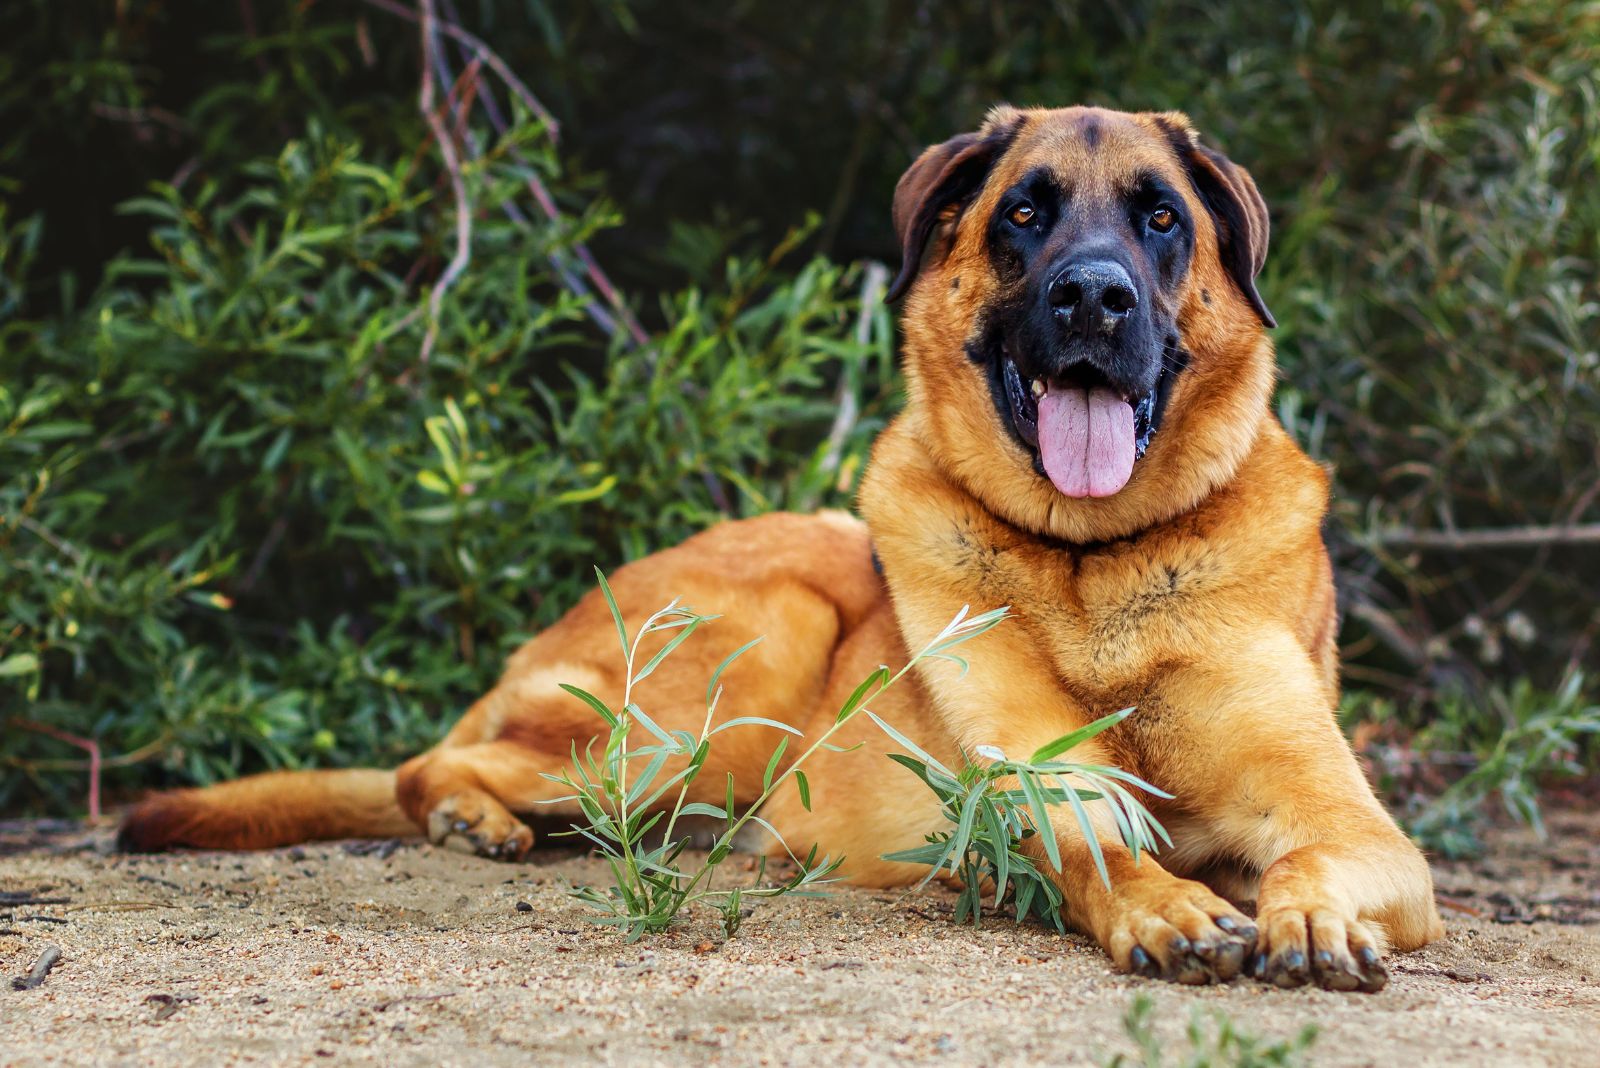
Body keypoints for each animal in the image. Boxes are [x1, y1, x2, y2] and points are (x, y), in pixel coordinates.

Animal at [118, 106, 1446, 991]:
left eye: (1160, 219)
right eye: (1024, 213)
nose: (1092, 298)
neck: (1094, 564)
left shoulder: (1363, 834)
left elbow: (1312, 860)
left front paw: (1306, 920)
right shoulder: (1024, 798)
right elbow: (1094, 844)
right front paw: (1165, 908)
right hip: (725, 687)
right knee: (427, 767)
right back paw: (474, 820)